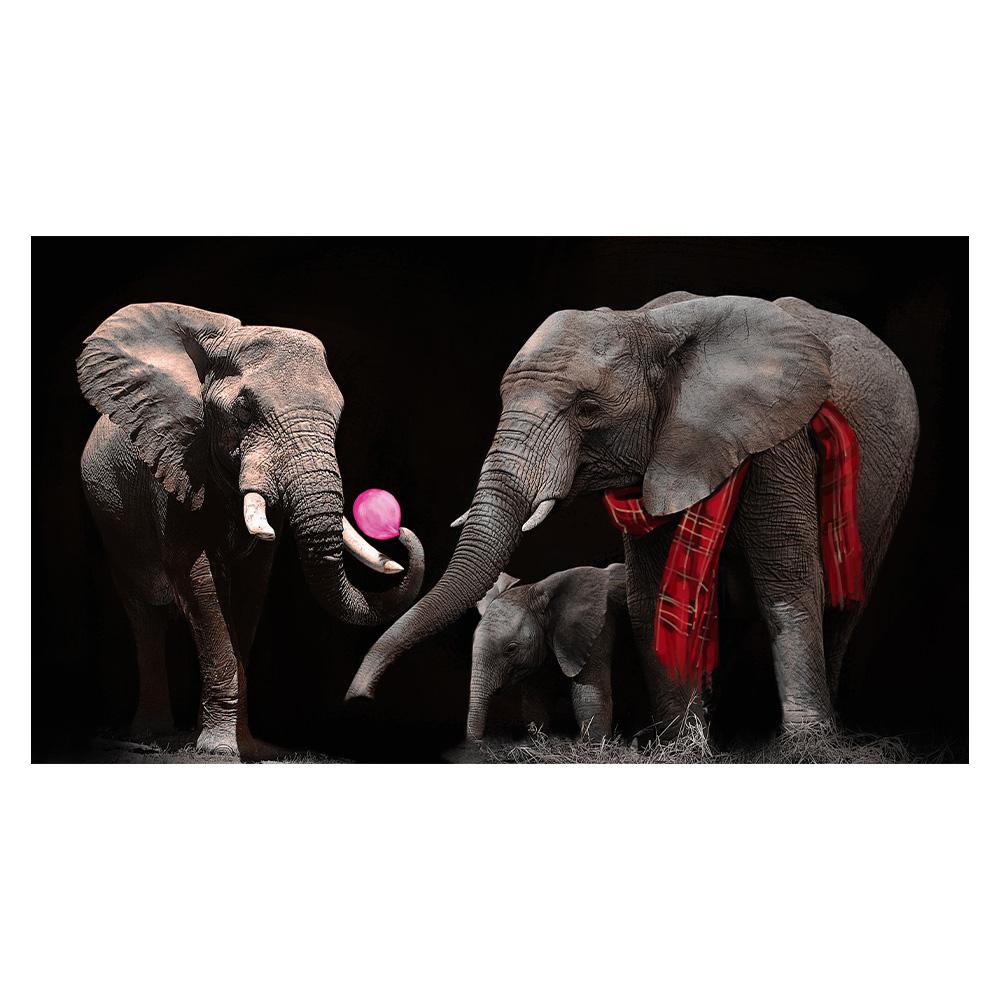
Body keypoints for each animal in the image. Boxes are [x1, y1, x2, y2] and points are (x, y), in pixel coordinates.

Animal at [78, 302, 425, 758]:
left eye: (338, 415)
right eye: (243, 413)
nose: (397, 531)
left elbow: (250, 587)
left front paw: (249, 749)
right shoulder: (174, 463)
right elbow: (197, 579)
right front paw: (218, 753)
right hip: (114, 531)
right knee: (146, 619)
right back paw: (150, 738)